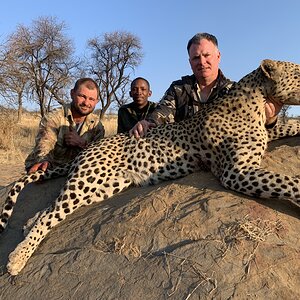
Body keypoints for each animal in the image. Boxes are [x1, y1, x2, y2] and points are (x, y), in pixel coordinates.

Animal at [0, 57, 300, 276]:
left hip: (104, 187)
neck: (257, 101)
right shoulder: (235, 172)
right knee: (51, 214)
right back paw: (17, 258)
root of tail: (86, 149)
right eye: (297, 71)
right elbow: (288, 182)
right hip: (87, 181)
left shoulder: (262, 140)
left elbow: (287, 126)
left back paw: (27, 223)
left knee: (49, 210)